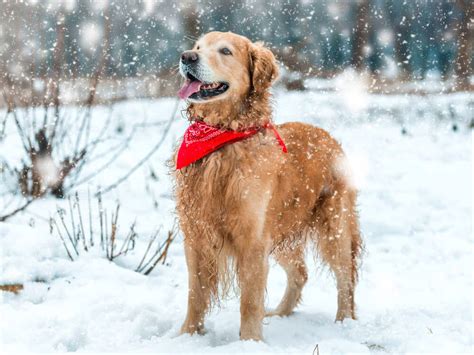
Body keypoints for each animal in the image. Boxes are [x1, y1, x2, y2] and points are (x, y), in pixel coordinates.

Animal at [172, 32, 362, 340]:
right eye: (198, 47)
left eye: (225, 51)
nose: (187, 56)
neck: (223, 137)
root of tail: (329, 136)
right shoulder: (196, 233)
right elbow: (195, 294)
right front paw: (187, 335)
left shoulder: (252, 238)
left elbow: (249, 300)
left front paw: (250, 341)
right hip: (282, 228)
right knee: (300, 272)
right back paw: (281, 313)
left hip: (334, 226)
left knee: (345, 278)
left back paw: (344, 322)